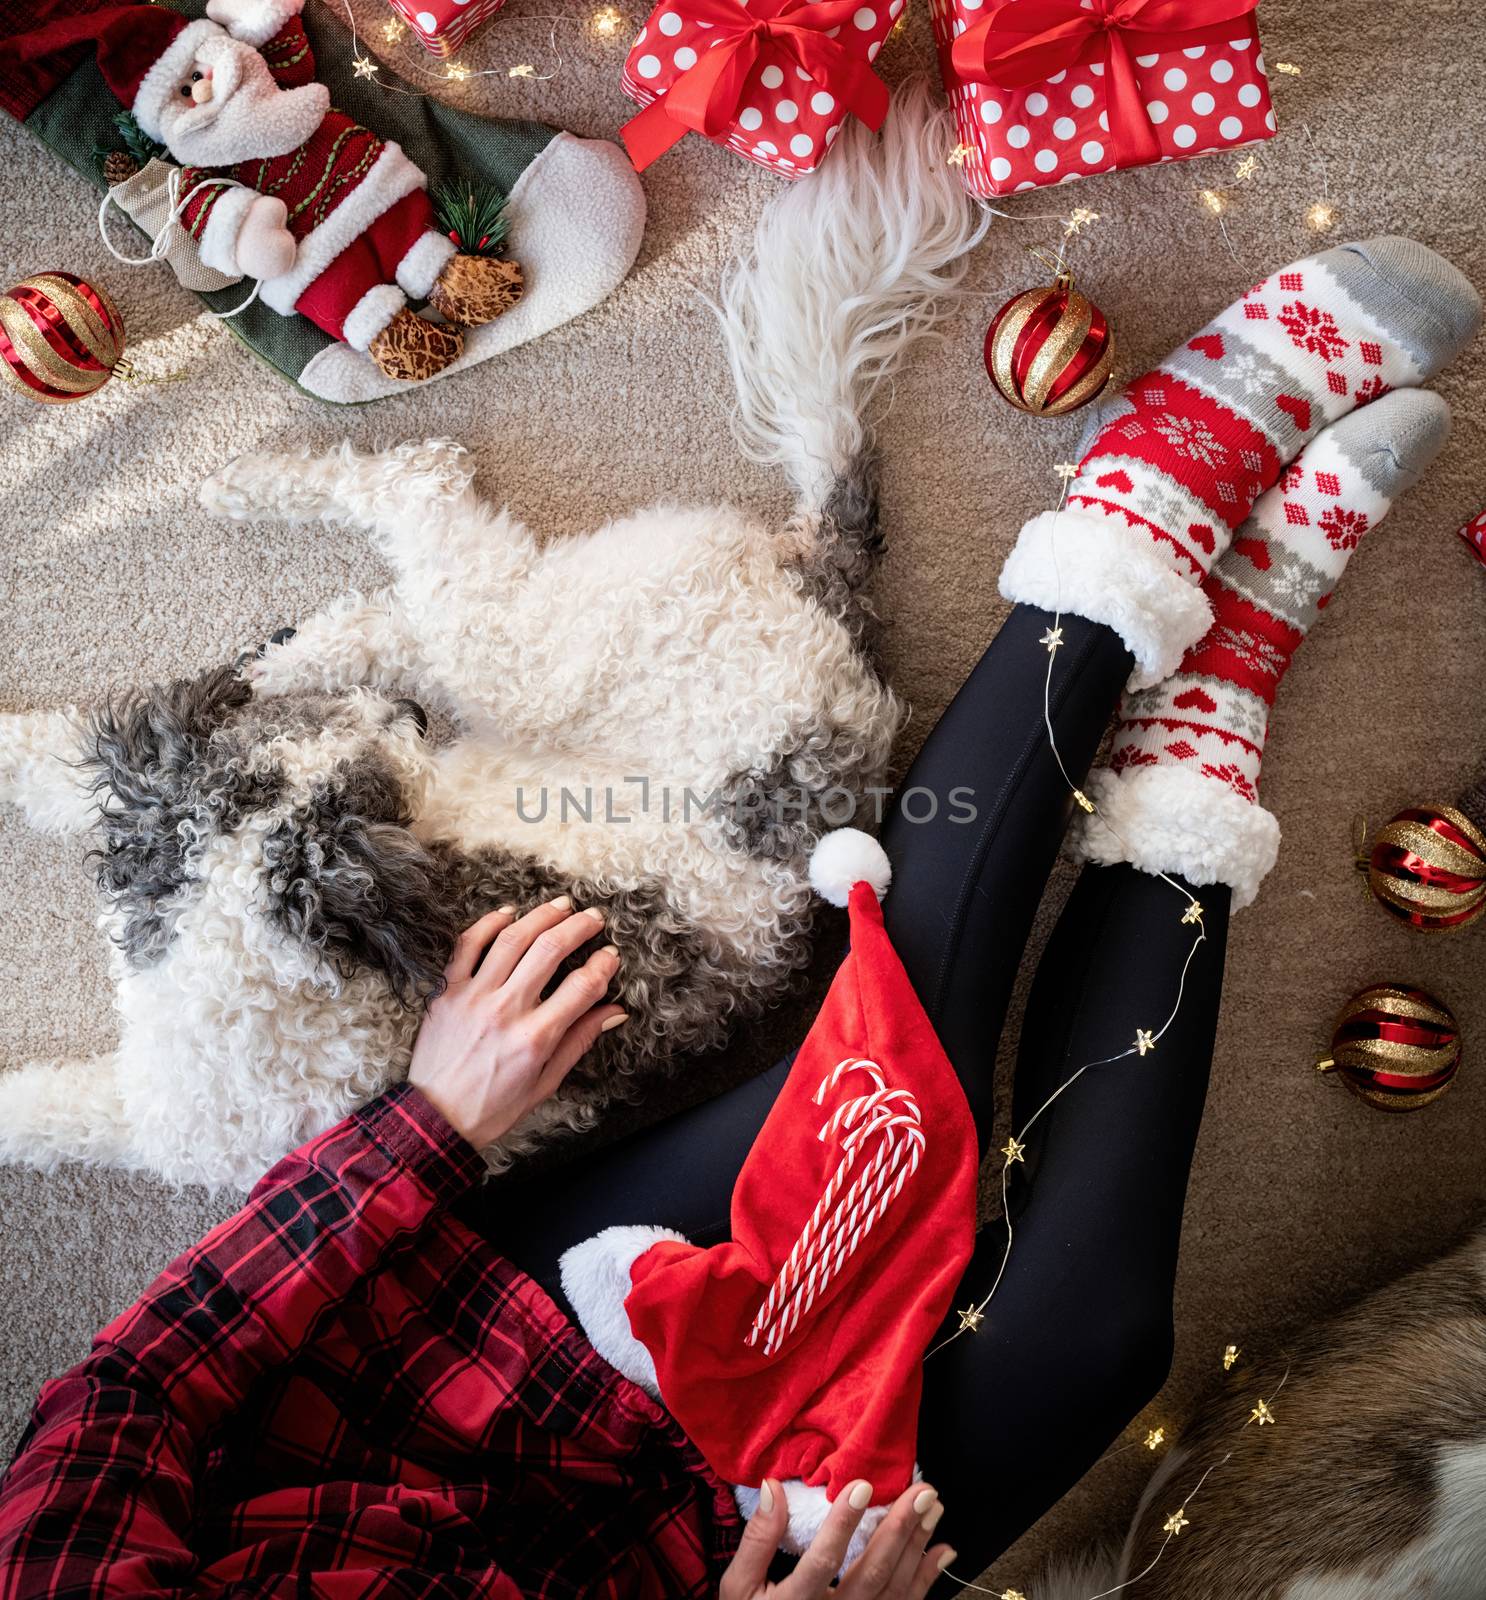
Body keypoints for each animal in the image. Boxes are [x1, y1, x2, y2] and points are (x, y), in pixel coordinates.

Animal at [0, 87, 991, 1190]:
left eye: (375, 799)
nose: (408, 718)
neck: (245, 945)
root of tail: (828, 586)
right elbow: (40, 765)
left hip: (532, 644)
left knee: (418, 499)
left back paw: (255, 487)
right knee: (386, 607)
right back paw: (279, 614)